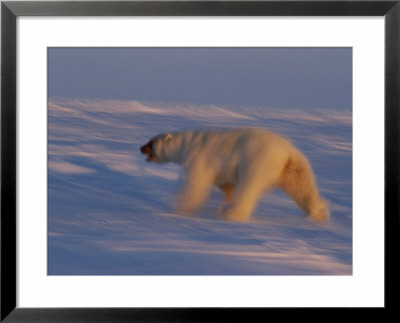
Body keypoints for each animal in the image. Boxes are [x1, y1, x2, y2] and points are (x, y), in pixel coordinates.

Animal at [139, 128, 330, 223]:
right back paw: (318, 212)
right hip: (293, 167)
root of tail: (288, 151)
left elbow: (196, 183)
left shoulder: (198, 157)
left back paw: (231, 213)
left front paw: (180, 206)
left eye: (150, 142)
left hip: (257, 160)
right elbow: (226, 185)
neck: (188, 143)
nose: (140, 147)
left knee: (249, 185)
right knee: (301, 186)